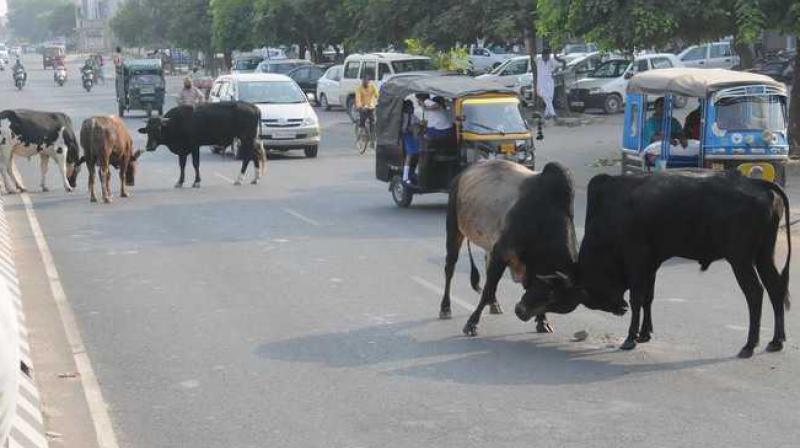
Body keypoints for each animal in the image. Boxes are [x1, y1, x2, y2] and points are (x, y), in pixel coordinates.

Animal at [520, 170, 792, 358]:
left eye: (550, 291)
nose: (519, 309)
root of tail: (759, 184)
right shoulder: (651, 263)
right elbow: (648, 298)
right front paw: (644, 334)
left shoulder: (637, 258)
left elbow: (637, 298)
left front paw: (630, 338)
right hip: (763, 255)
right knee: (776, 288)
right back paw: (776, 341)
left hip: (740, 258)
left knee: (755, 293)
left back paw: (749, 345)